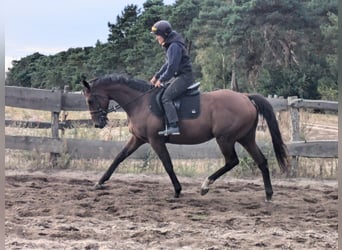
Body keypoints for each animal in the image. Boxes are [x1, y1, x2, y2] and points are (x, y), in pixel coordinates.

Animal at [82, 74, 288, 201]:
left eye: (90, 100)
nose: (98, 124)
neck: (141, 102)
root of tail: (246, 97)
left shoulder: (155, 140)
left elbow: (167, 164)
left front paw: (177, 190)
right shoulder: (138, 139)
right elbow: (119, 157)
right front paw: (100, 182)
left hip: (225, 139)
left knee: (232, 161)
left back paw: (205, 186)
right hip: (246, 138)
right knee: (261, 161)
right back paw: (268, 195)